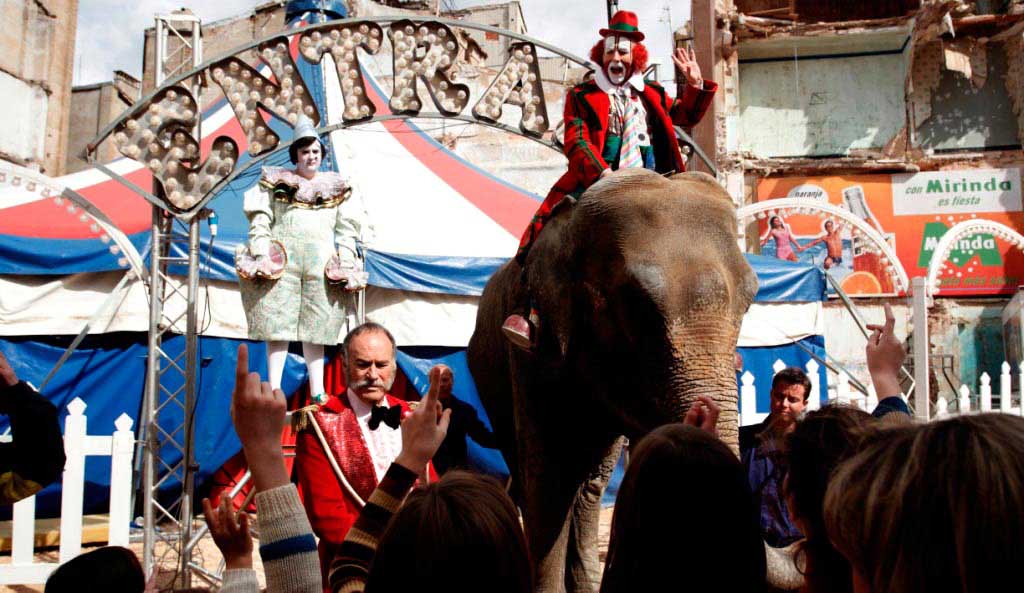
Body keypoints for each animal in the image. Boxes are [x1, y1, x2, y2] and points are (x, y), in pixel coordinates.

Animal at [468, 167, 757, 593]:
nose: (704, 411)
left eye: (752, 299)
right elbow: (546, 475)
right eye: (638, 305)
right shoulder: (532, 350)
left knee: (591, 485)